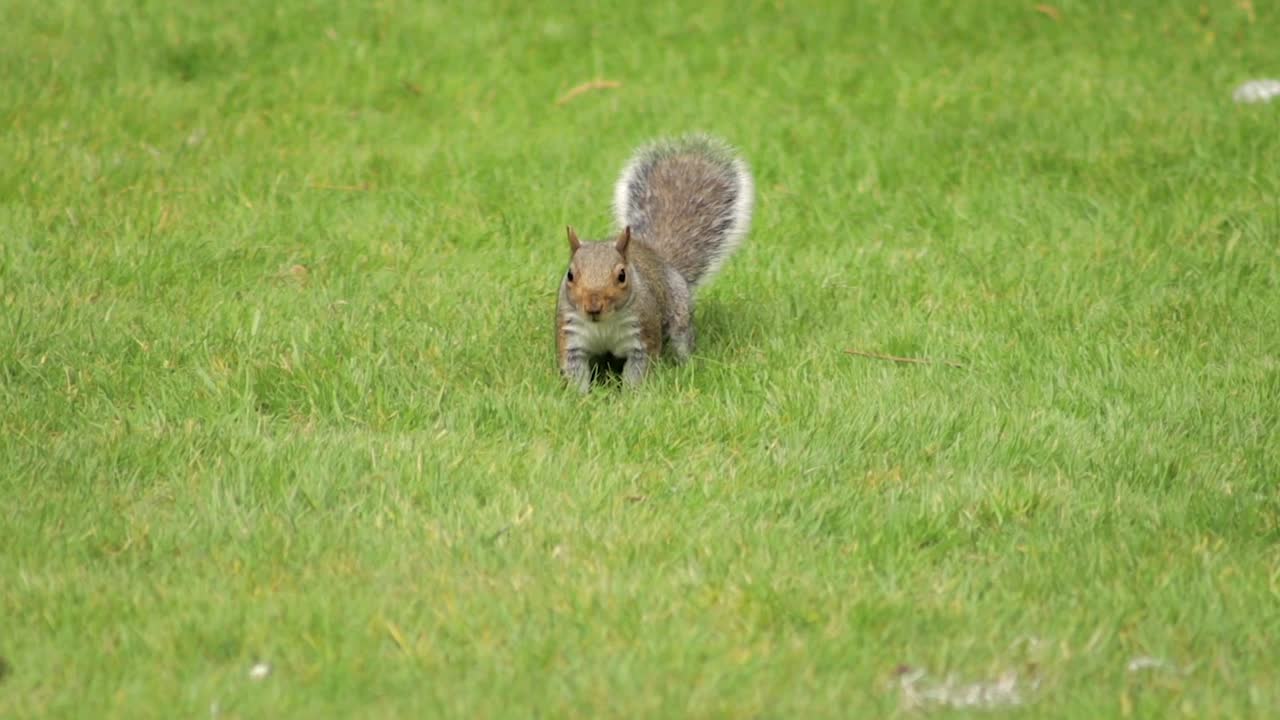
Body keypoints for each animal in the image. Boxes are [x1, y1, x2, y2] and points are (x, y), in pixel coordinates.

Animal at [555, 134, 754, 392]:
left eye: (622, 275)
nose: (593, 306)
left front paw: (630, 396)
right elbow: (574, 370)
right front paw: (580, 397)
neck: (604, 323)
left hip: (679, 314)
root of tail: (657, 256)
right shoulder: (571, 336)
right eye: (570, 275)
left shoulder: (643, 335)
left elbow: (638, 370)